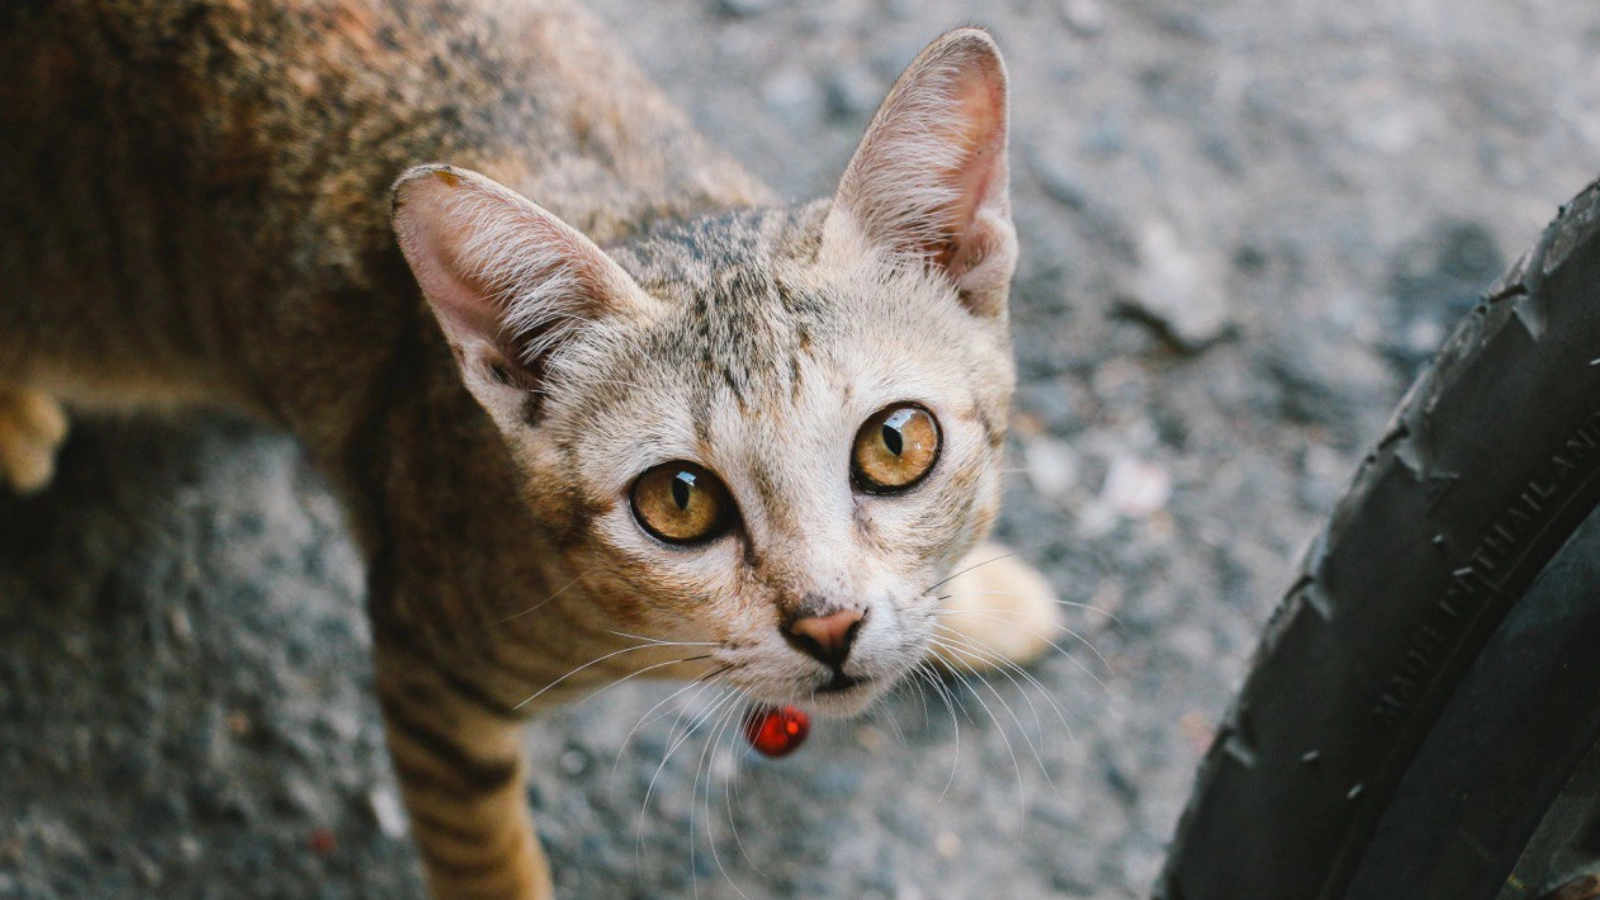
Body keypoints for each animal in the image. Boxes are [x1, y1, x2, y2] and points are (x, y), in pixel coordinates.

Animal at [3, 3, 1062, 890]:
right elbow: (482, 852)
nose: (829, 626)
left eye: (896, 444)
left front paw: (982, 601)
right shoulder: (426, 658)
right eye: (680, 500)